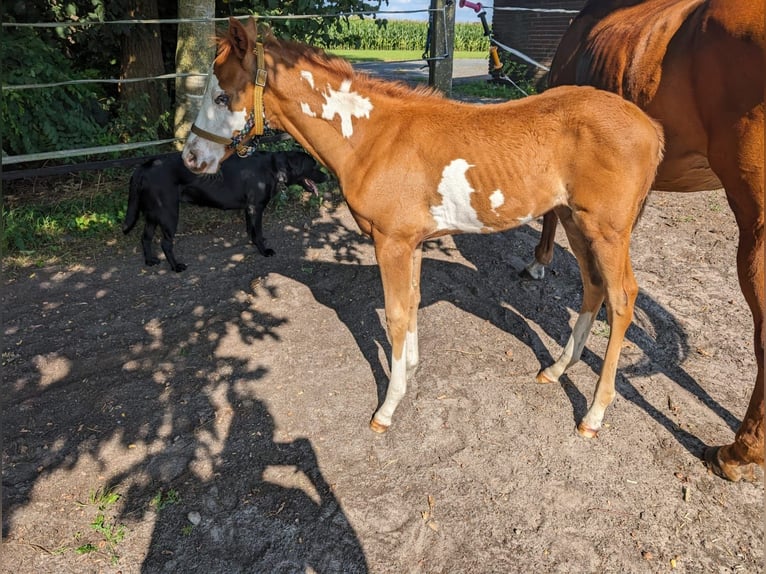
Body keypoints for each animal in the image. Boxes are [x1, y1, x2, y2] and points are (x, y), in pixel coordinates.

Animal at [123, 151, 328, 272]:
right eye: (313, 165)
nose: (327, 176)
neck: (275, 169)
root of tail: (143, 167)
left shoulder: (249, 209)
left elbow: (251, 230)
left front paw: (255, 244)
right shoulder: (256, 207)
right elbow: (258, 231)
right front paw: (264, 250)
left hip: (152, 214)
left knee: (145, 237)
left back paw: (150, 261)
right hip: (168, 213)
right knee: (165, 243)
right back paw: (176, 266)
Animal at [182, 16, 664, 440]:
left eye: (223, 96)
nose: (191, 158)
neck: (372, 139)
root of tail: (650, 125)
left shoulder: (390, 243)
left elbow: (395, 315)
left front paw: (387, 408)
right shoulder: (410, 243)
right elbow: (411, 305)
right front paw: (410, 371)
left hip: (607, 231)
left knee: (622, 299)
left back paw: (593, 415)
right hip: (573, 220)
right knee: (593, 287)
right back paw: (556, 369)